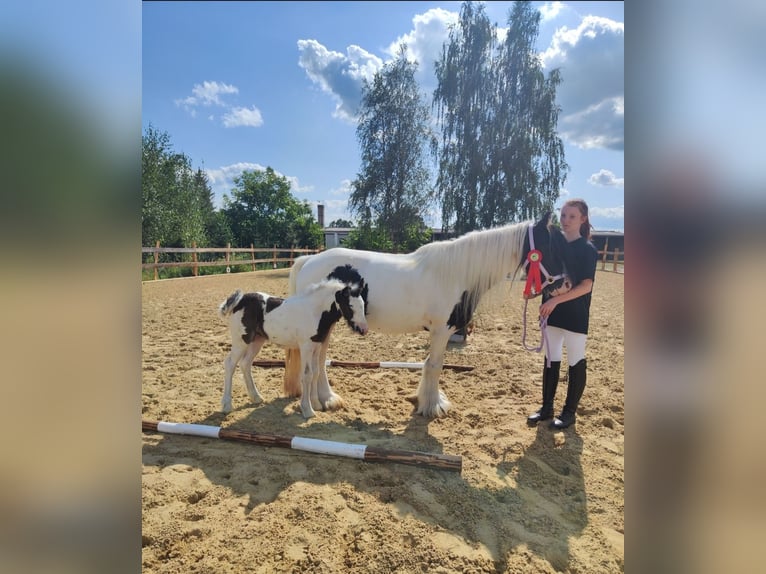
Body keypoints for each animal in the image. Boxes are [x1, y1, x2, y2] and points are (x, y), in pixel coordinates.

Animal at [219, 280, 368, 418]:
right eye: (350, 305)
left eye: (363, 304)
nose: (364, 329)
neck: (314, 311)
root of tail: (239, 300)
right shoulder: (306, 346)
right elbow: (307, 374)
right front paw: (308, 410)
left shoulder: (316, 346)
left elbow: (316, 372)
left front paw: (316, 404)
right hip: (241, 341)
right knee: (230, 364)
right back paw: (227, 406)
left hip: (257, 341)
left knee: (245, 364)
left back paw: (256, 397)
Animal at [284, 212, 568, 418]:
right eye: (551, 246)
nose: (564, 285)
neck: (456, 273)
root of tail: (308, 261)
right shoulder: (442, 330)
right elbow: (434, 366)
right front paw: (432, 406)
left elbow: (431, 364)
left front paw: (429, 400)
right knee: (319, 361)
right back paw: (324, 400)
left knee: (320, 360)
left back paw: (325, 399)